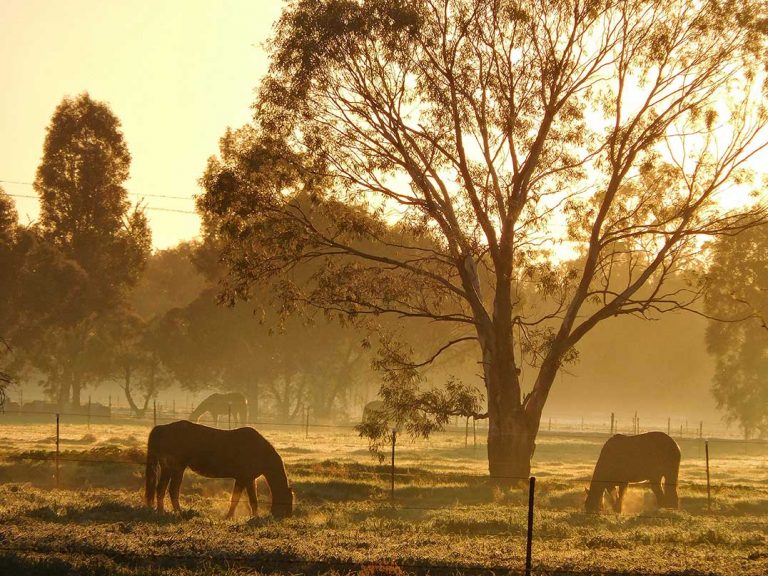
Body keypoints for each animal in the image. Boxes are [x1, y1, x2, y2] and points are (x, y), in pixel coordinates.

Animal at [145, 420, 293, 518]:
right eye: (289, 499)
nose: (288, 516)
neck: (258, 449)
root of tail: (162, 428)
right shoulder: (244, 479)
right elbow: (242, 499)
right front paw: (238, 517)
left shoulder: (247, 479)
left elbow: (245, 499)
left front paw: (241, 517)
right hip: (175, 469)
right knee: (170, 490)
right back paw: (174, 513)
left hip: (171, 469)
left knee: (164, 489)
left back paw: (165, 512)